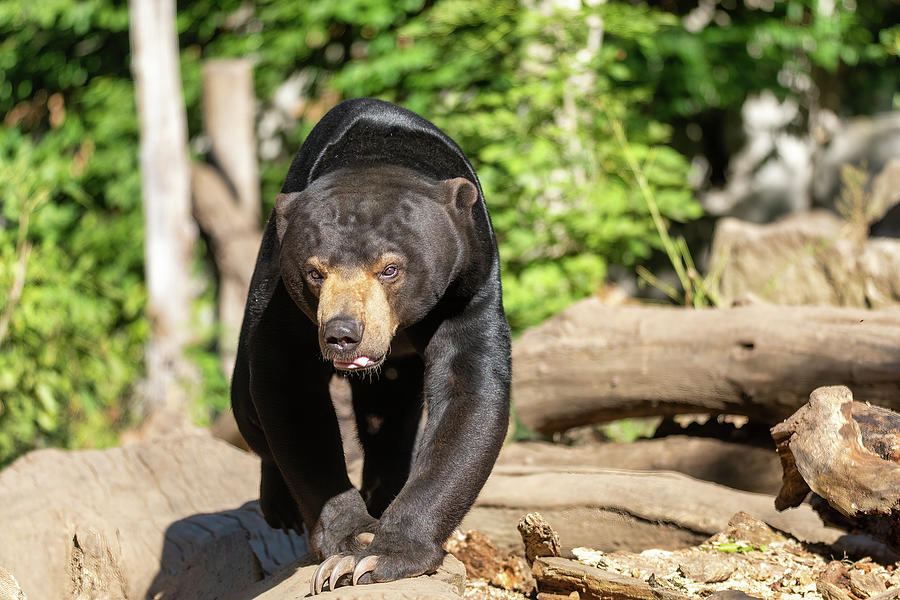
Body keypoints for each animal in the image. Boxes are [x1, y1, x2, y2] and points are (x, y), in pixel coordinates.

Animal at [232, 96, 510, 592]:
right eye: (315, 271)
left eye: (390, 268)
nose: (343, 334)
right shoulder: (284, 300)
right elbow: (287, 386)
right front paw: (348, 543)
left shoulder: (470, 283)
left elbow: (470, 392)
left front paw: (382, 554)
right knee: (246, 404)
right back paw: (280, 506)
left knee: (389, 424)